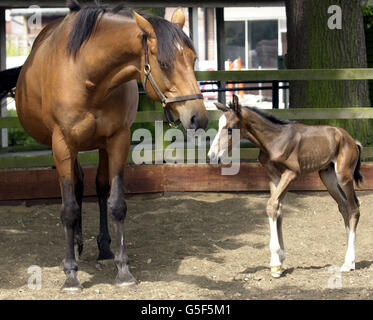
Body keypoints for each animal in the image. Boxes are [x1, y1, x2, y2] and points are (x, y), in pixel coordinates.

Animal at [15, 0, 206, 290]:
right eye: (164, 63)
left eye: (193, 59)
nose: (199, 118)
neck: (87, 74)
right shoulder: (62, 144)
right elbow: (69, 209)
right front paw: (71, 274)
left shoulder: (117, 140)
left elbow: (116, 204)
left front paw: (123, 269)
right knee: (76, 187)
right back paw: (77, 246)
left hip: (101, 146)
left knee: (97, 186)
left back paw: (103, 249)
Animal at [209, 94, 364, 278]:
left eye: (230, 129)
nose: (212, 156)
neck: (274, 140)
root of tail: (352, 141)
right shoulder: (274, 176)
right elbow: (278, 208)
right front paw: (280, 262)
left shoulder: (291, 173)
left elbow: (271, 206)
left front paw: (275, 263)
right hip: (328, 176)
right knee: (343, 206)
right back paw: (351, 260)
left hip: (343, 175)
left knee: (354, 208)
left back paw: (348, 262)